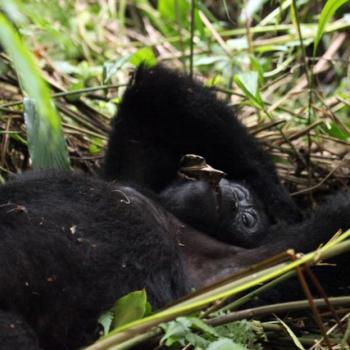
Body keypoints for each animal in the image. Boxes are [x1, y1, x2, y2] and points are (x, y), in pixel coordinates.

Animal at [0, 64, 348, 348]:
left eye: (248, 220)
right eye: (244, 209)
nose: (240, 203)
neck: (179, 225)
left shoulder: (246, 269)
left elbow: (327, 239)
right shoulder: (131, 179)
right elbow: (154, 91)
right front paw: (274, 195)